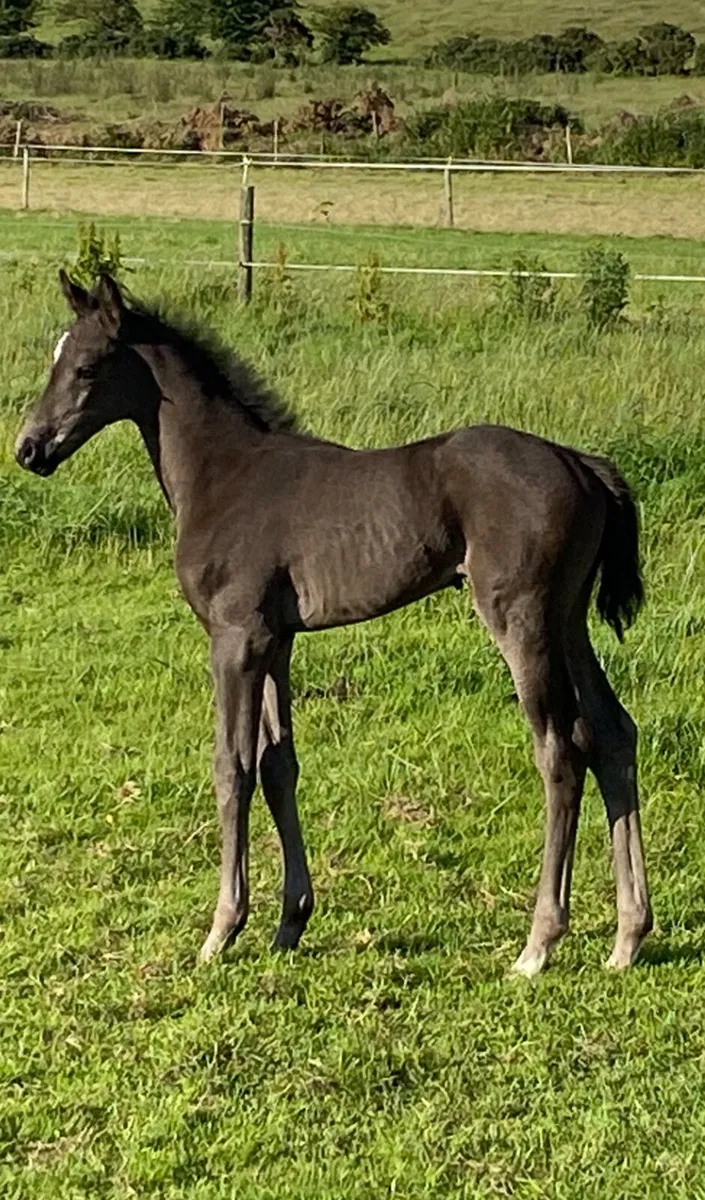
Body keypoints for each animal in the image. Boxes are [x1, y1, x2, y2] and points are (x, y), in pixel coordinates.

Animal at [15, 272, 652, 975]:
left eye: (87, 366)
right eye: (54, 358)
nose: (29, 449)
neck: (225, 475)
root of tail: (581, 463)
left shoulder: (235, 638)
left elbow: (231, 766)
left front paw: (221, 930)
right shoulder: (276, 640)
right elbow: (277, 764)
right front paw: (289, 922)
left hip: (523, 618)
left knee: (560, 749)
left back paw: (538, 945)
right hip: (568, 619)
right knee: (612, 734)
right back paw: (627, 937)